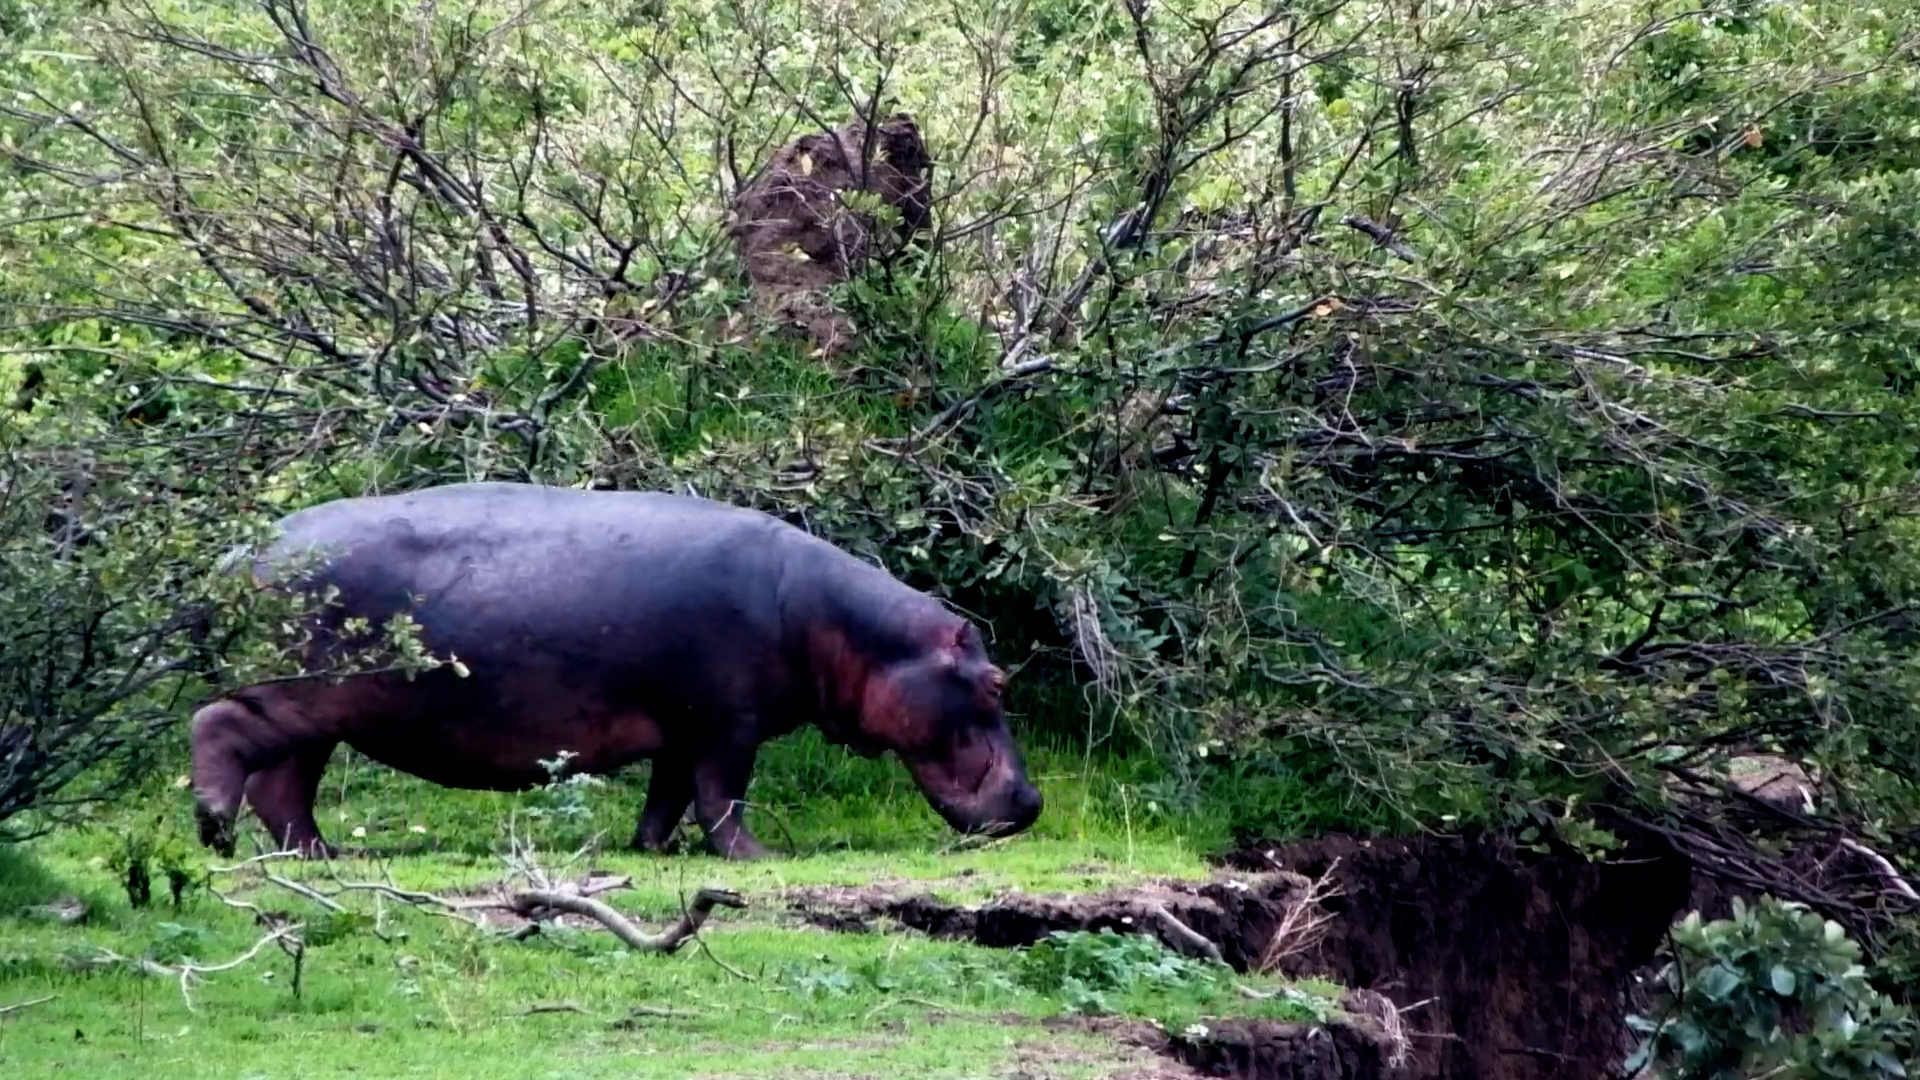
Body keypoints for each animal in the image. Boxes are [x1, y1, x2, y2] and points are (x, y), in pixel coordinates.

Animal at [189, 482, 1042, 860]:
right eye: (996, 684)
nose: (1032, 802)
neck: (854, 633)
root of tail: (230, 558)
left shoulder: (681, 726)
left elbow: (669, 795)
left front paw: (649, 850)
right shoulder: (727, 724)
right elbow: (722, 797)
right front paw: (761, 859)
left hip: (322, 716)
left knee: (284, 789)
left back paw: (323, 855)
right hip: (292, 696)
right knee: (219, 728)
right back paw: (216, 833)